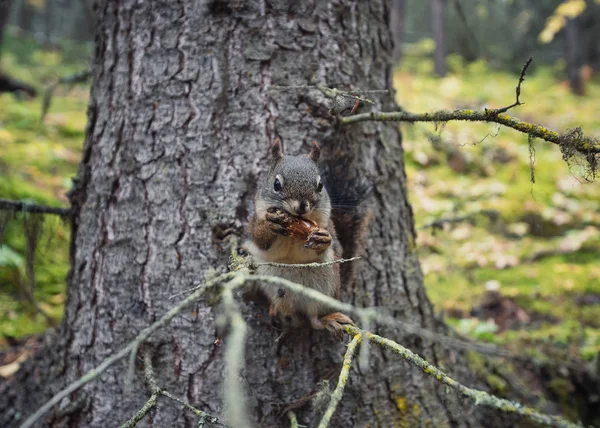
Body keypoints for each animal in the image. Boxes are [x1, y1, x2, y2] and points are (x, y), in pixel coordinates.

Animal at [244, 139, 370, 340]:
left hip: (326, 286)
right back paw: (279, 311)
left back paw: (327, 319)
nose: (302, 206)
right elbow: (259, 240)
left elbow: (335, 246)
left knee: (314, 319)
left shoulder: (327, 225)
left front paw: (322, 240)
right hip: (271, 283)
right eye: (276, 184)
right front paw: (270, 224)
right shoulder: (255, 221)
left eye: (320, 185)